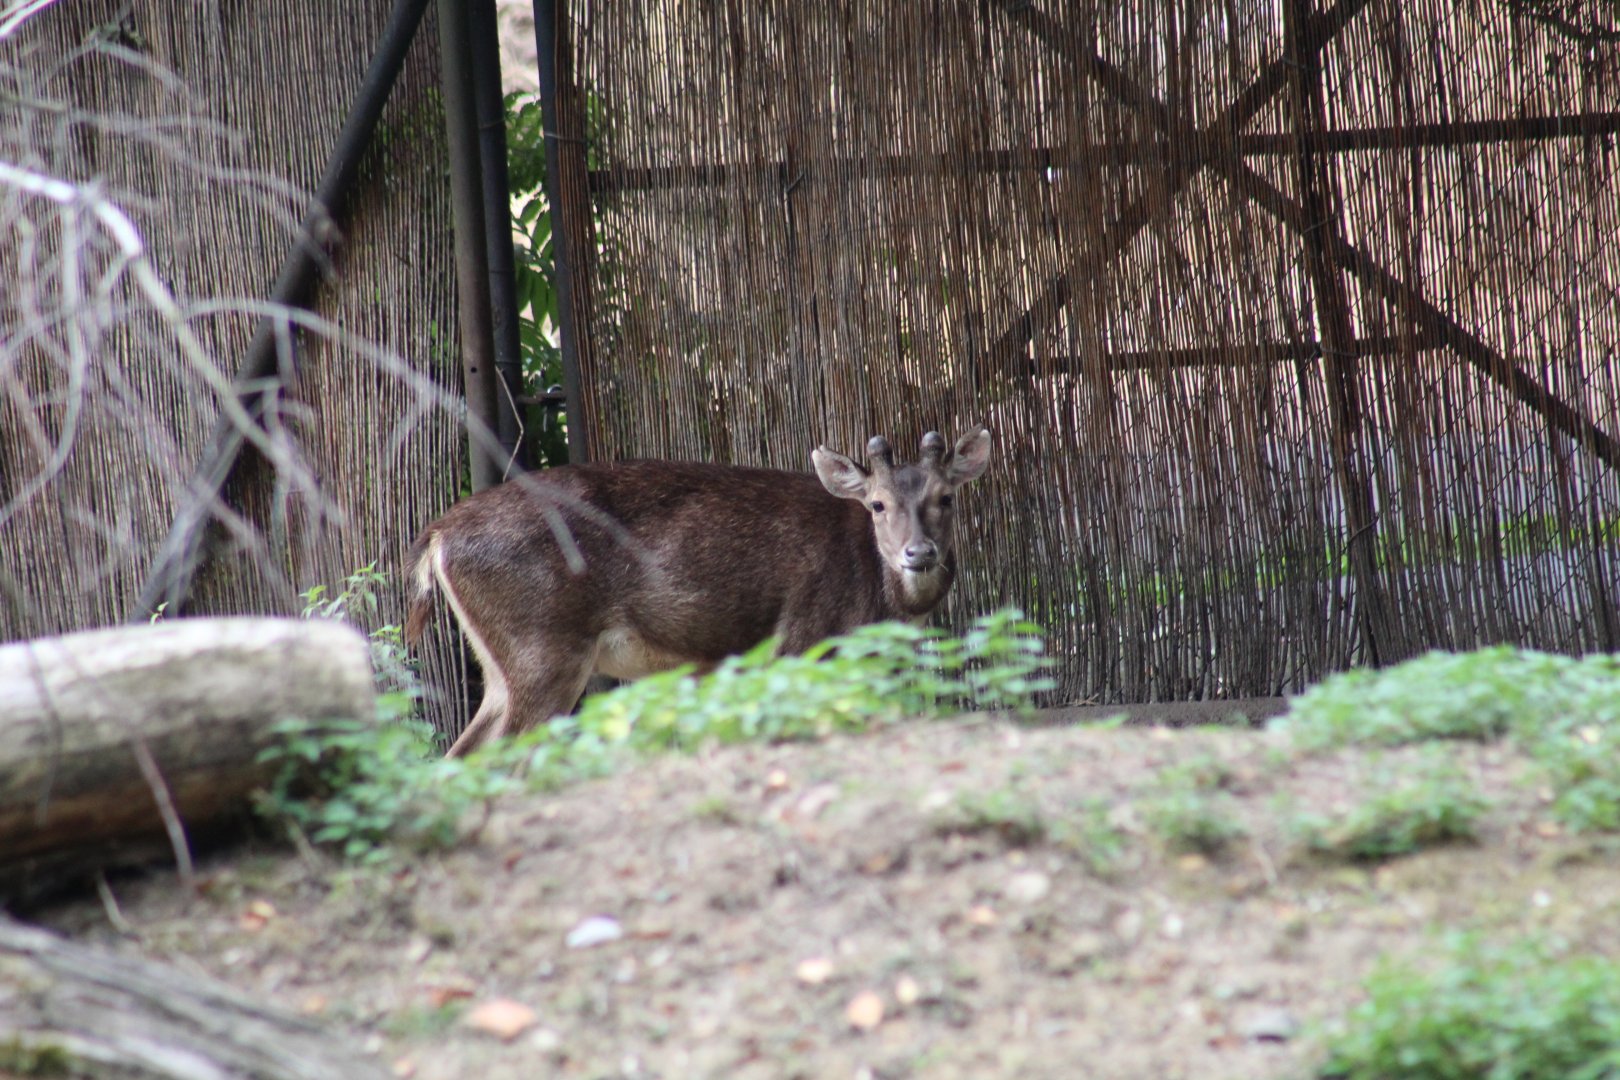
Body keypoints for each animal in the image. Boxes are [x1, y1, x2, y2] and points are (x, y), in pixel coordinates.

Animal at [404, 428, 992, 756]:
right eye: (877, 504)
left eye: (946, 497)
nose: (919, 553)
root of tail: (436, 538)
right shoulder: (802, 643)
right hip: (544, 650)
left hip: (501, 665)